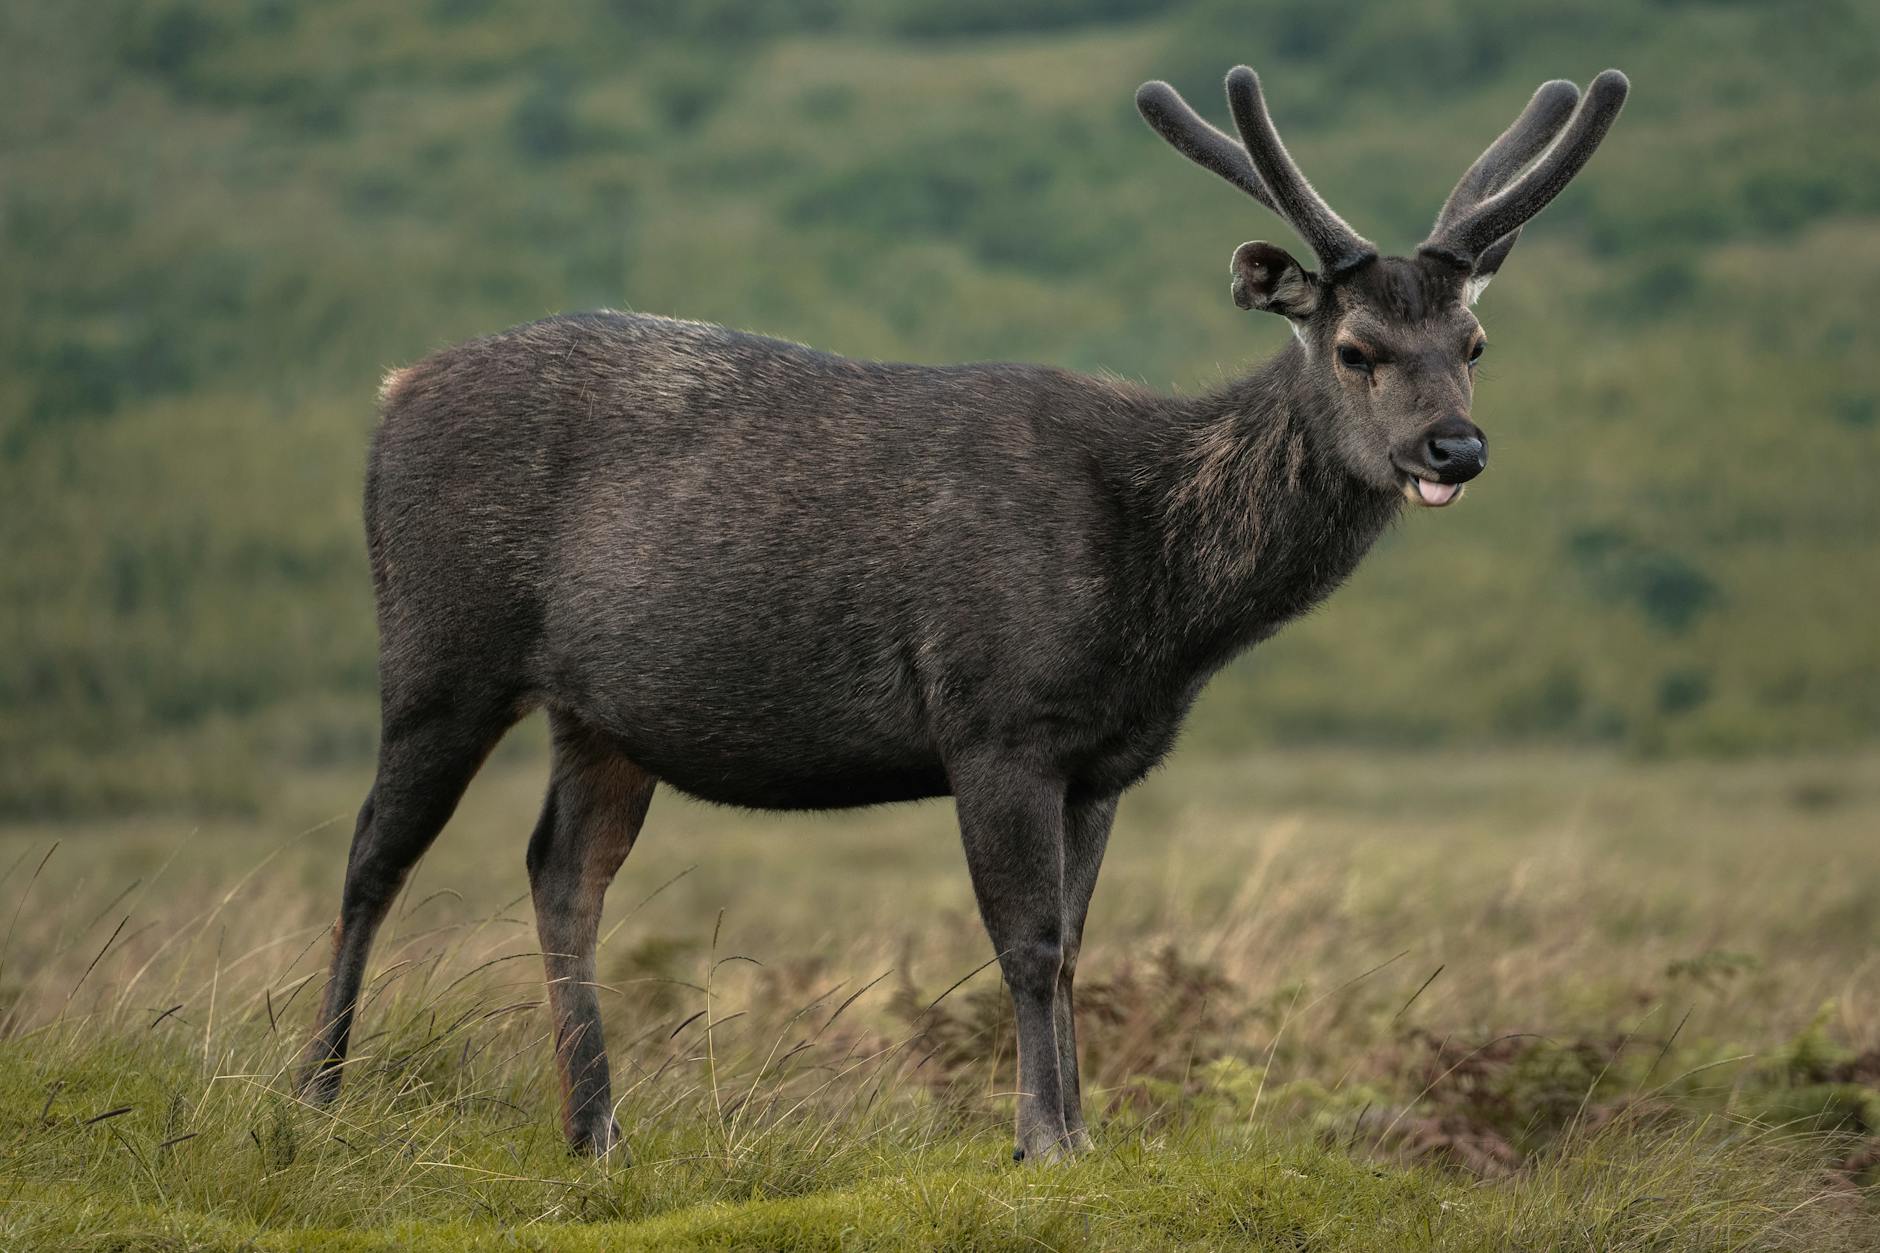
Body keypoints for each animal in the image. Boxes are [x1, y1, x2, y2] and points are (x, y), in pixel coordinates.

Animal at [297, 65, 1631, 1158]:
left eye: (1472, 340)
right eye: (1355, 347)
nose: (1453, 447)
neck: (1162, 605)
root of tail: (391, 390)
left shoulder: (1104, 759)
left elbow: (1078, 943)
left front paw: (1081, 1135)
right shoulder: (993, 719)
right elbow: (1027, 942)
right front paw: (1039, 1140)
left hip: (603, 716)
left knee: (561, 871)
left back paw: (595, 1129)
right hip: (439, 646)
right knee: (372, 852)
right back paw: (315, 1094)